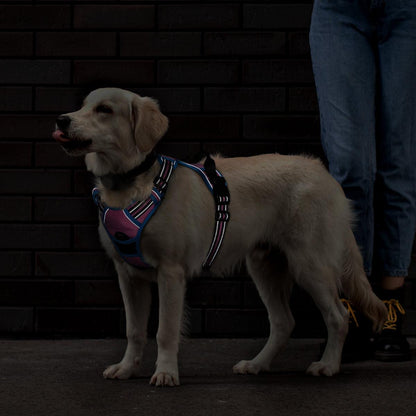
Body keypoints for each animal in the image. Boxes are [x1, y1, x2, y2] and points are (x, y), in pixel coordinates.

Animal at [52, 87, 386, 386]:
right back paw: (257, 364)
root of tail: (324, 173)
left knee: (338, 316)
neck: (131, 183)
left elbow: (165, 331)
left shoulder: (170, 272)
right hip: (264, 266)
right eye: (82, 106)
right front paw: (126, 368)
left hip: (310, 264)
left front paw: (166, 373)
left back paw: (328, 365)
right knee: (283, 322)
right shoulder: (128, 275)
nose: (61, 120)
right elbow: (134, 330)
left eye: (104, 110)